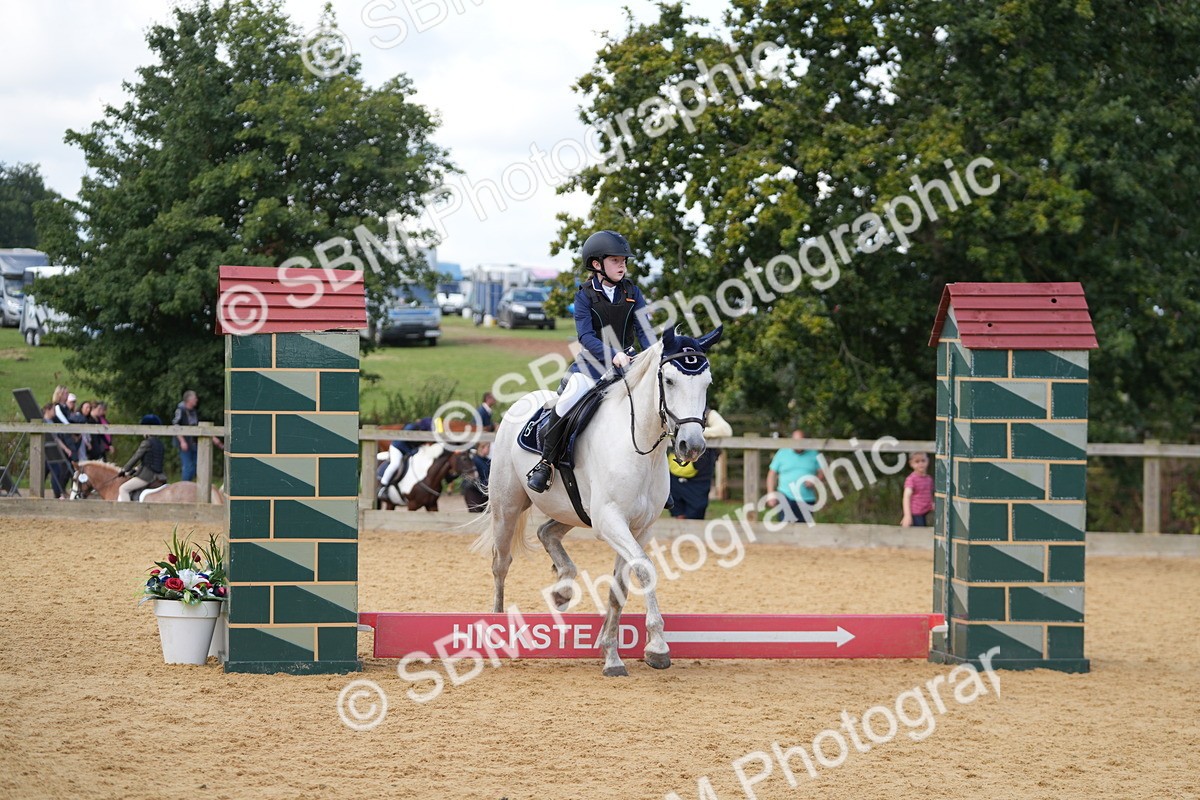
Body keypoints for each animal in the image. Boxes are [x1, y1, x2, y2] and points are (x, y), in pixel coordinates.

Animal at [473, 326, 720, 677]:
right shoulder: (611, 521)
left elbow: (621, 588)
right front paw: (657, 646)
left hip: (572, 511)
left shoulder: (638, 527)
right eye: (670, 381)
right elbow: (645, 568)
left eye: (707, 383)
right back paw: (495, 629)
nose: (692, 446)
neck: (639, 447)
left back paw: (562, 589)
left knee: (546, 532)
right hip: (507, 508)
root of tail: (521, 402)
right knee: (501, 563)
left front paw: (612, 654)